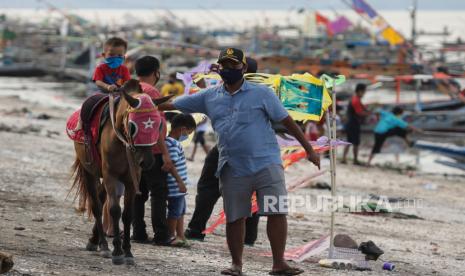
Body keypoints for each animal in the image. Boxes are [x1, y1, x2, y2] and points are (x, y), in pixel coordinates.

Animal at [70, 80, 167, 266]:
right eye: (132, 126)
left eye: (158, 125)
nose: (147, 162)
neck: (122, 142)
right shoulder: (110, 176)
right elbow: (114, 210)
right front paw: (116, 251)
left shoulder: (131, 179)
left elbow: (128, 214)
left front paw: (128, 252)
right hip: (89, 170)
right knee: (96, 205)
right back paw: (103, 245)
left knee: (101, 198)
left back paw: (94, 240)